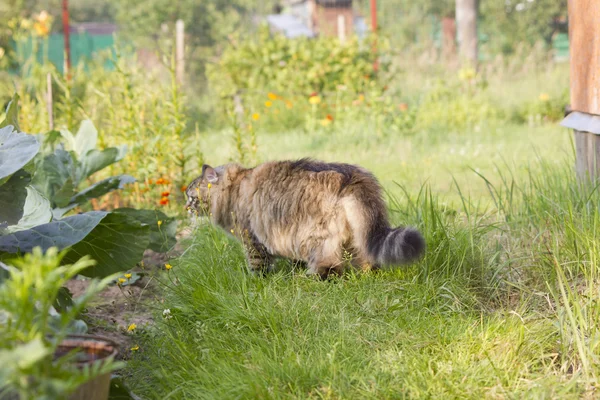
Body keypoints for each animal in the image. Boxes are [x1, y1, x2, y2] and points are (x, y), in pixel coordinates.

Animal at [185, 159, 424, 278]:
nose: (185, 208)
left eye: (191, 198)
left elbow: (257, 267)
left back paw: (310, 279)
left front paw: (254, 282)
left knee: (331, 269)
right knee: (367, 261)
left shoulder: (252, 240)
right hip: (358, 234)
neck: (234, 187)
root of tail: (354, 178)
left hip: (315, 238)